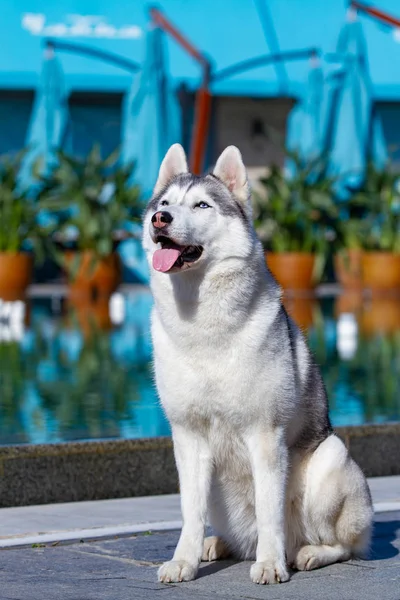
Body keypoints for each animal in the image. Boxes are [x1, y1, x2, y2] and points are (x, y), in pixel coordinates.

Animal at [142, 143, 374, 584]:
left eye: (201, 205)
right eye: (164, 204)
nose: (159, 220)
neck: (204, 325)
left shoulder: (264, 434)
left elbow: (270, 512)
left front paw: (270, 564)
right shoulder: (188, 436)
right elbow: (190, 513)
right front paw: (184, 560)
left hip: (331, 459)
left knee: (342, 545)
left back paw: (304, 553)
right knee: (230, 533)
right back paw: (218, 545)